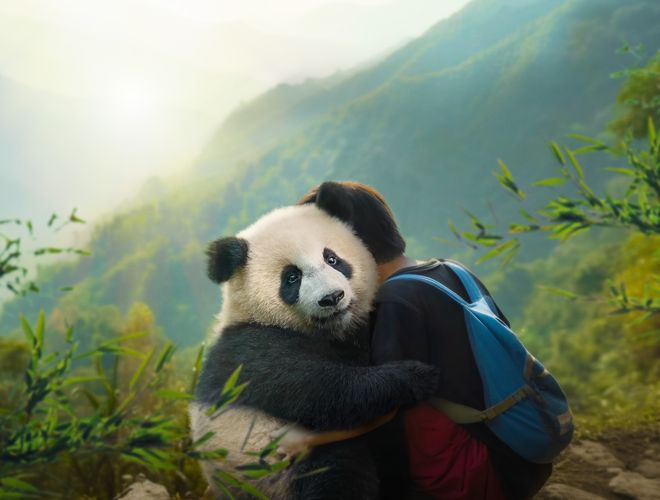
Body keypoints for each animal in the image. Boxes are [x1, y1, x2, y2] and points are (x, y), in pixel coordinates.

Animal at [189, 202, 440, 499]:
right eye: (292, 277)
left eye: (332, 259)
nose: (332, 298)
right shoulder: (252, 349)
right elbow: (322, 390)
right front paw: (416, 376)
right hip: (272, 464)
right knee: (337, 471)